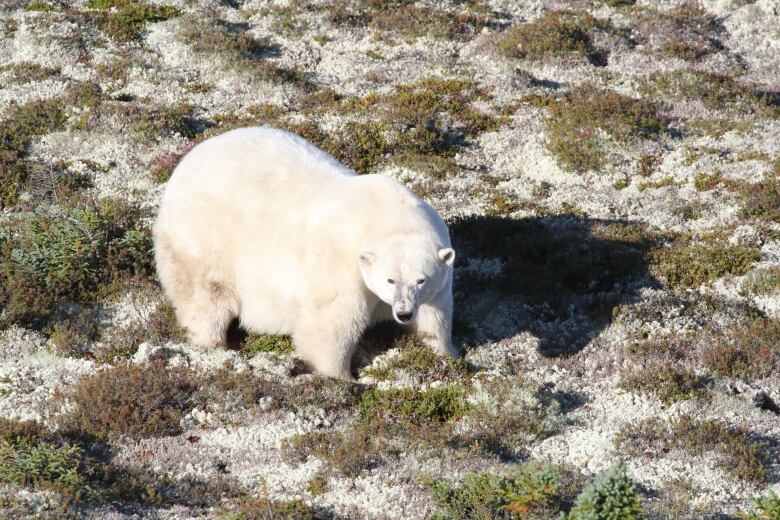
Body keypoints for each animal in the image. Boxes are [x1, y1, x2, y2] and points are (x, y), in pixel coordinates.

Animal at [152, 126, 458, 378]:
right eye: (389, 279)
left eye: (421, 279)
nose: (404, 313)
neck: (385, 215)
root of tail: (185, 164)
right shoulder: (341, 265)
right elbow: (332, 323)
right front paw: (342, 377)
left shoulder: (439, 273)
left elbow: (435, 317)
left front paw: (449, 355)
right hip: (204, 236)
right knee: (206, 295)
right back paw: (213, 344)